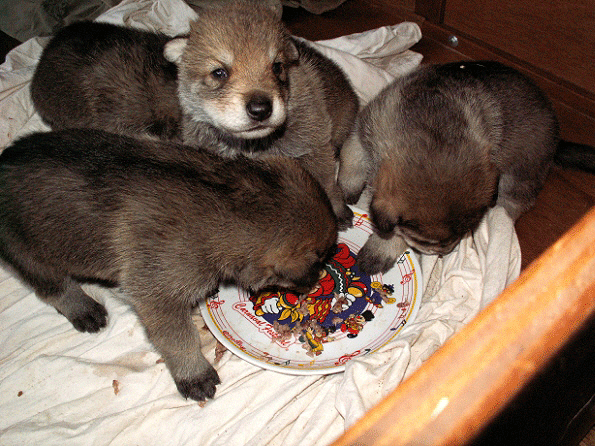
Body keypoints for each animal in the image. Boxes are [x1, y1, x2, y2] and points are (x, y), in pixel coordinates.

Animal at [0, 128, 338, 401]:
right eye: (320, 258)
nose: (318, 278)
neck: (227, 201)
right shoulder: (156, 294)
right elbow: (178, 338)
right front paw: (194, 372)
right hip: (23, 248)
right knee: (52, 286)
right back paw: (83, 307)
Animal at [30, 1, 359, 228]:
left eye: (277, 67)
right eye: (219, 73)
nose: (261, 108)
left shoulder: (315, 146)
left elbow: (328, 185)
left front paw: (337, 211)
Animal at [339, 60, 592, 273]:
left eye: (462, 234)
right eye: (425, 241)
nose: (446, 252)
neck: (433, 131)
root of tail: (557, 140)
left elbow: (393, 234)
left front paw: (381, 249)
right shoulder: (365, 129)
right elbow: (351, 159)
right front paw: (345, 191)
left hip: (520, 175)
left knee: (512, 205)